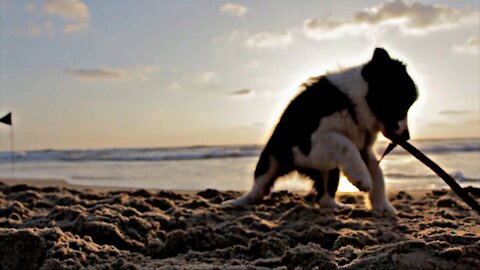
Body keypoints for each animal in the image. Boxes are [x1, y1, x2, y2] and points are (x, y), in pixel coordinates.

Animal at [227, 47, 418, 214]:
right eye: (401, 105)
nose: (407, 136)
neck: (351, 101)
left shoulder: (364, 148)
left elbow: (377, 174)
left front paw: (384, 207)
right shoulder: (307, 144)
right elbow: (345, 143)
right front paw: (362, 179)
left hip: (328, 170)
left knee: (324, 198)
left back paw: (338, 207)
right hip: (271, 160)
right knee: (259, 187)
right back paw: (238, 202)